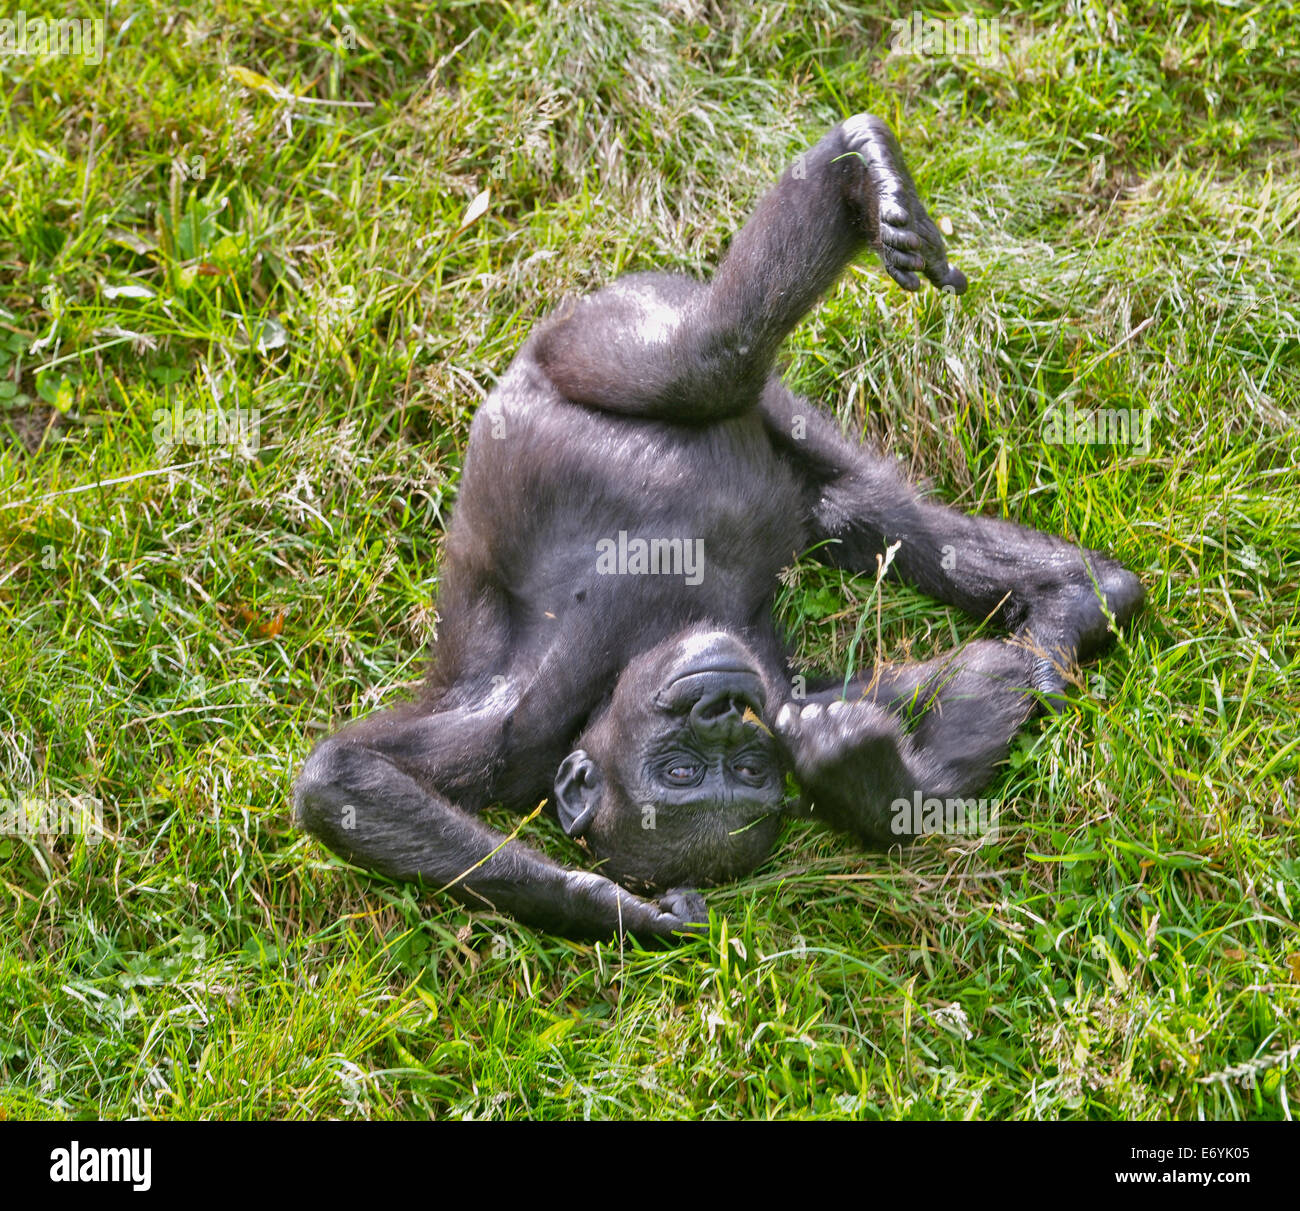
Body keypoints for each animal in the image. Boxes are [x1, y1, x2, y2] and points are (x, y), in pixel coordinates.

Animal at [297, 113, 1149, 940]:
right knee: (820, 469)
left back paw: (863, 169)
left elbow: (339, 780)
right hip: (614, 341)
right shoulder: (531, 733)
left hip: (607, 321)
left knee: (708, 361)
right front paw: (616, 906)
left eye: (738, 767)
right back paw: (1084, 596)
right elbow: (348, 783)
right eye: (684, 771)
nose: (716, 716)